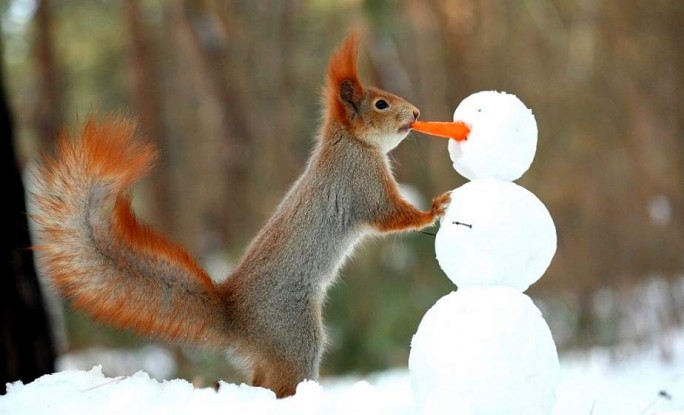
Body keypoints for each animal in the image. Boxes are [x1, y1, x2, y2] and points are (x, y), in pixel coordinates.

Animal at [30, 30, 448, 398]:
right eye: (381, 104)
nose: (416, 113)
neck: (350, 141)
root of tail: (236, 317)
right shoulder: (361, 183)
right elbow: (390, 217)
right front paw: (435, 208)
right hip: (294, 336)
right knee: (281, 383)